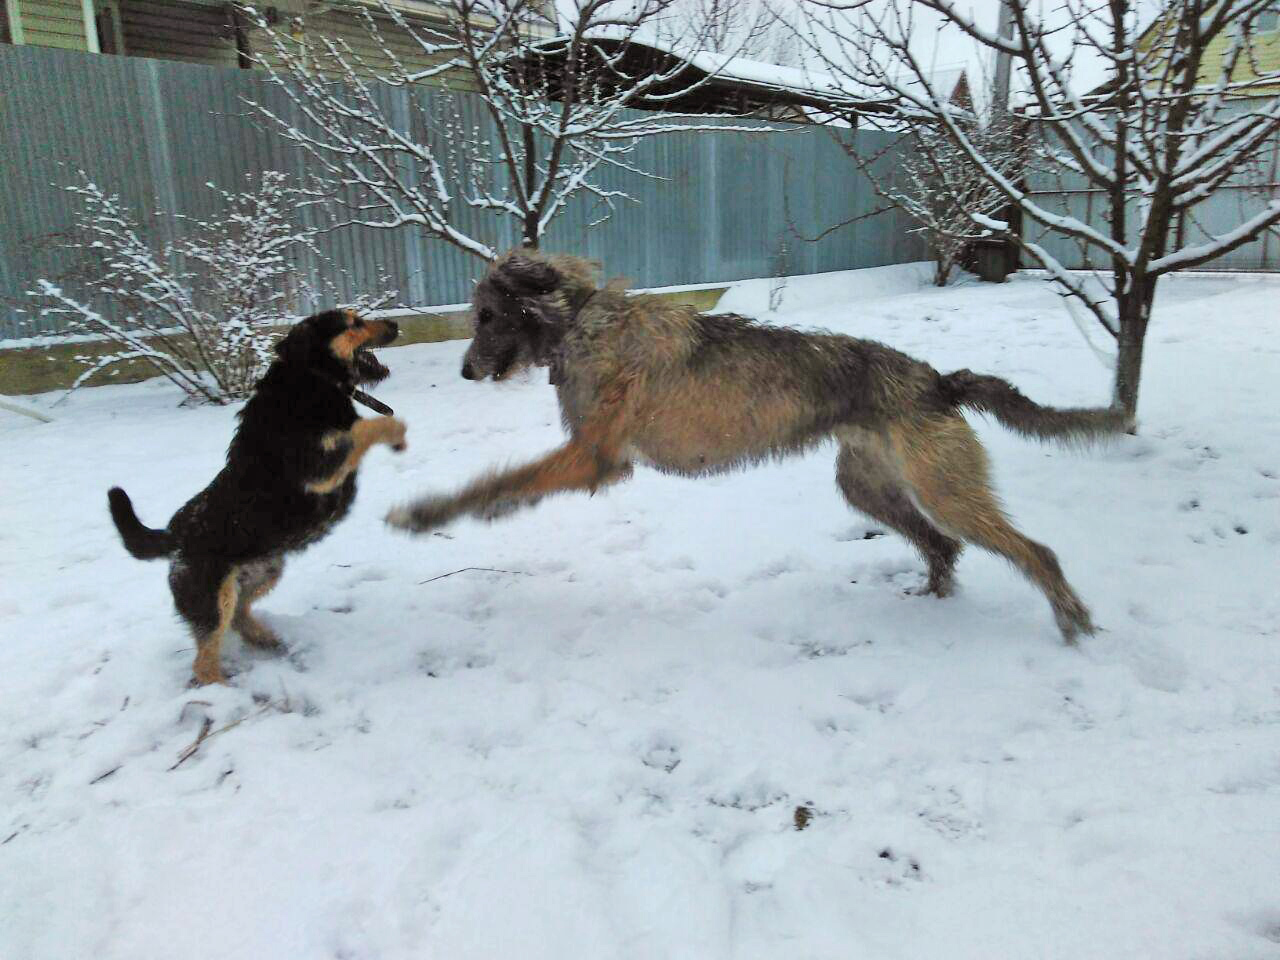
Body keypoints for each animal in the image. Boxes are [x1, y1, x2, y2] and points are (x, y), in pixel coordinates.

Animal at [114, 308, 407, 686]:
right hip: (214, 597)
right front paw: (397, 433)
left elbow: (363, 428)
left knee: (239, 616)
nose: (396, 324)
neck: (312, 377)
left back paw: (268, 639)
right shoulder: (319, 466)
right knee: (204, 660)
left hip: (265, 570)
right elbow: (364, 428)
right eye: (353, 323)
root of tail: (174, 536)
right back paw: (223, 689)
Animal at [389, 249, 1131, 647]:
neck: (580, 323)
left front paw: (427, 513)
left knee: (1032, 551)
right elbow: (509, 484)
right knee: (942, 546)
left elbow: (500, 479)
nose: (464, 372)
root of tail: (938, 380)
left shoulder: (594, 456)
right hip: (868, 484)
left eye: (488, 315)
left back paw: (1071, 619)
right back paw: (933, 600)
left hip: (943, 487)